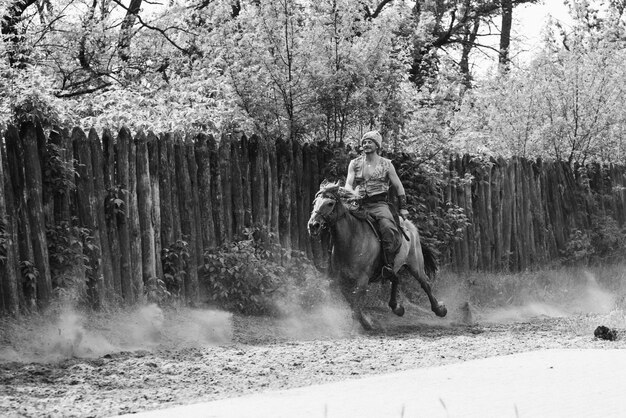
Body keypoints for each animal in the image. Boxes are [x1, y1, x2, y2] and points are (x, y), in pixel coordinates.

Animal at [306, 181, 444, 332]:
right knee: (396, 279)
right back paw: (397, 308)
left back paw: (439, 310)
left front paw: (359, 327)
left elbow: (356, 303)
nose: (313, 225)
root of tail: (410, 225)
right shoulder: (341, 280)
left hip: (415, 264)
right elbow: (352, 303)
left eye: (330, 203)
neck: (352, 240)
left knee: (425, 284)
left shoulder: (362, 279)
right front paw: (366, 323)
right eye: (315, 203)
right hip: (392, 268)